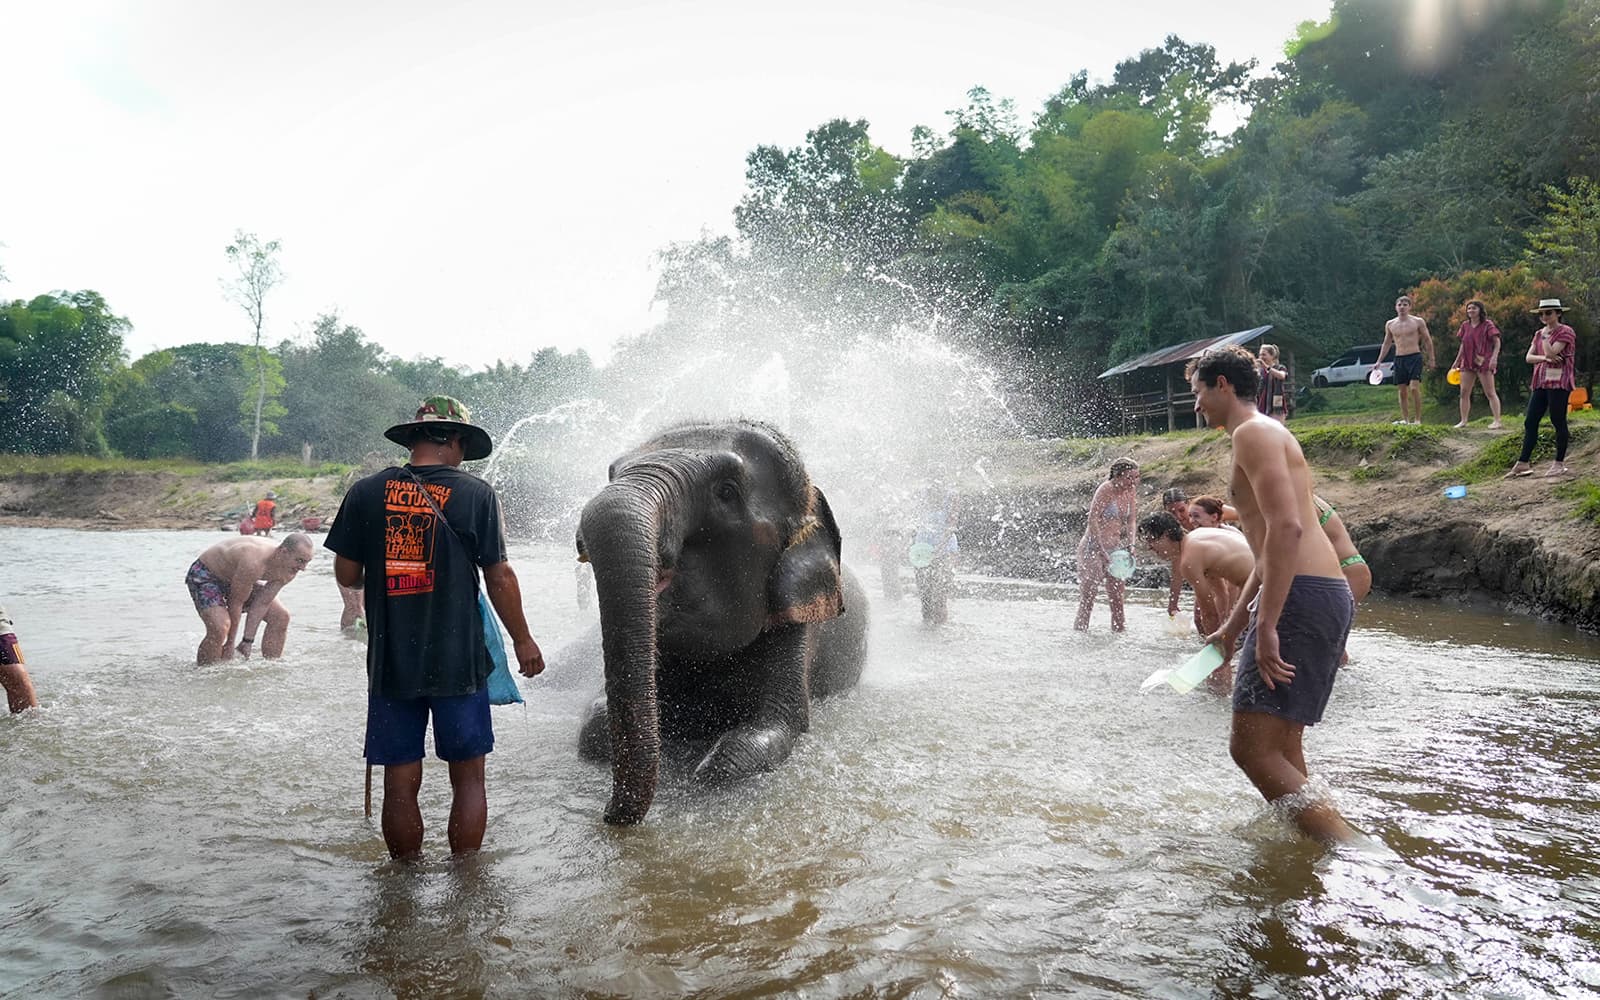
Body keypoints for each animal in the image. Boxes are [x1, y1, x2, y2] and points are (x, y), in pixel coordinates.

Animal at [574, 419, 869, 825]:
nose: (607, 815)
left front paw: (706, 767)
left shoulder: (800, 626)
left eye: (726, 491)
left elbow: (771, 730)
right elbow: (593, 728)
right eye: (611, 473)